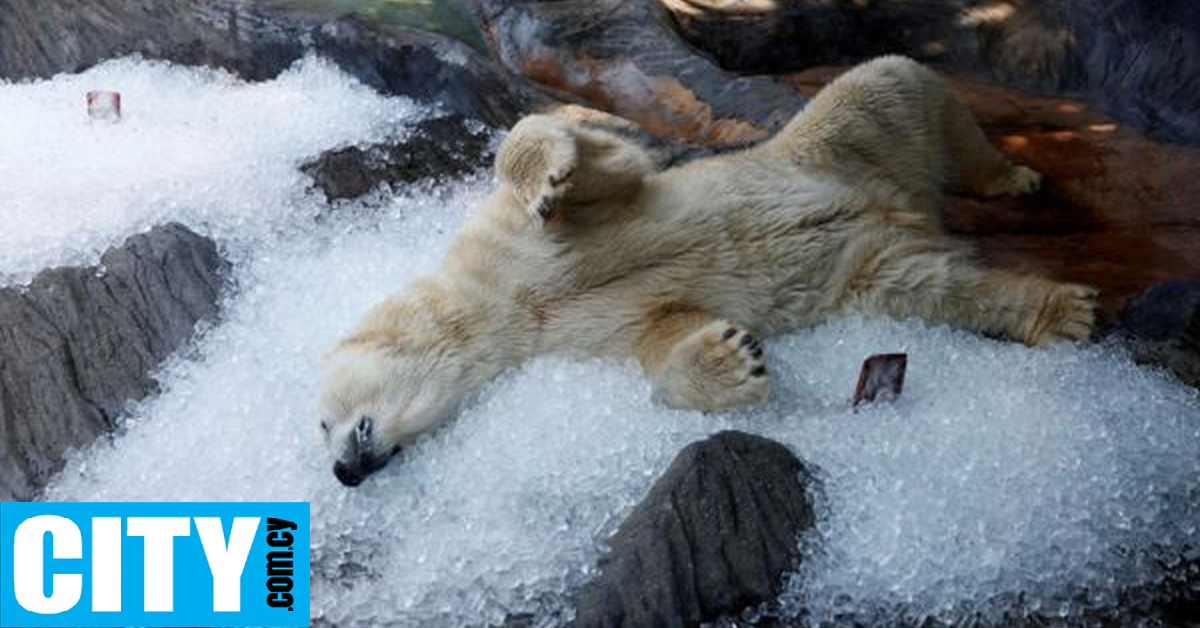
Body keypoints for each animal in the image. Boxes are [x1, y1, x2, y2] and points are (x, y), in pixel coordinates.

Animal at [316, 56, 1099, 487]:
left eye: (323, 421)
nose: (343, 473)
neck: (506, 305)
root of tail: (901, 206)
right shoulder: (568, 341)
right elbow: (663, 330)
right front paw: (733, 358)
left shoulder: (503, 238)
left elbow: (594, 166)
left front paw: (552, 173)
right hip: (869, 263)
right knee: (933, 287)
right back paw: (1060, 311)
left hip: (829, 145)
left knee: (893, 83)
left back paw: (1013, 178)